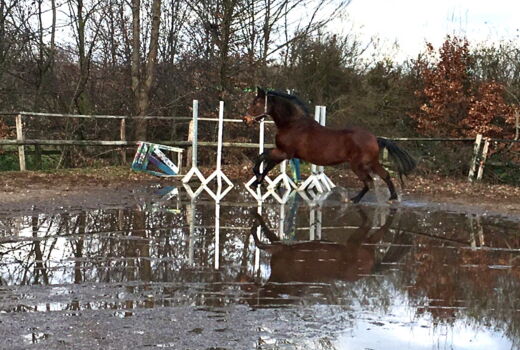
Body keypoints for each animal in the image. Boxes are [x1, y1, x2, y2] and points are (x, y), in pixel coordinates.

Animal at [242, 87, 416, 202]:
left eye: (256, 103)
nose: (245, 119)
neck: (293, 124)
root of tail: (375, 138)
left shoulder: (285, 152)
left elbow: (263, 157)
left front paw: (256, 178)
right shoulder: (283, 153)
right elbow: (267, 163)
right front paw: (257, 181)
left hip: (358, 165)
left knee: (369, 181)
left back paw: (353, 200)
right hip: (372, 162)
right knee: (385, 175)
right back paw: (392, 198)